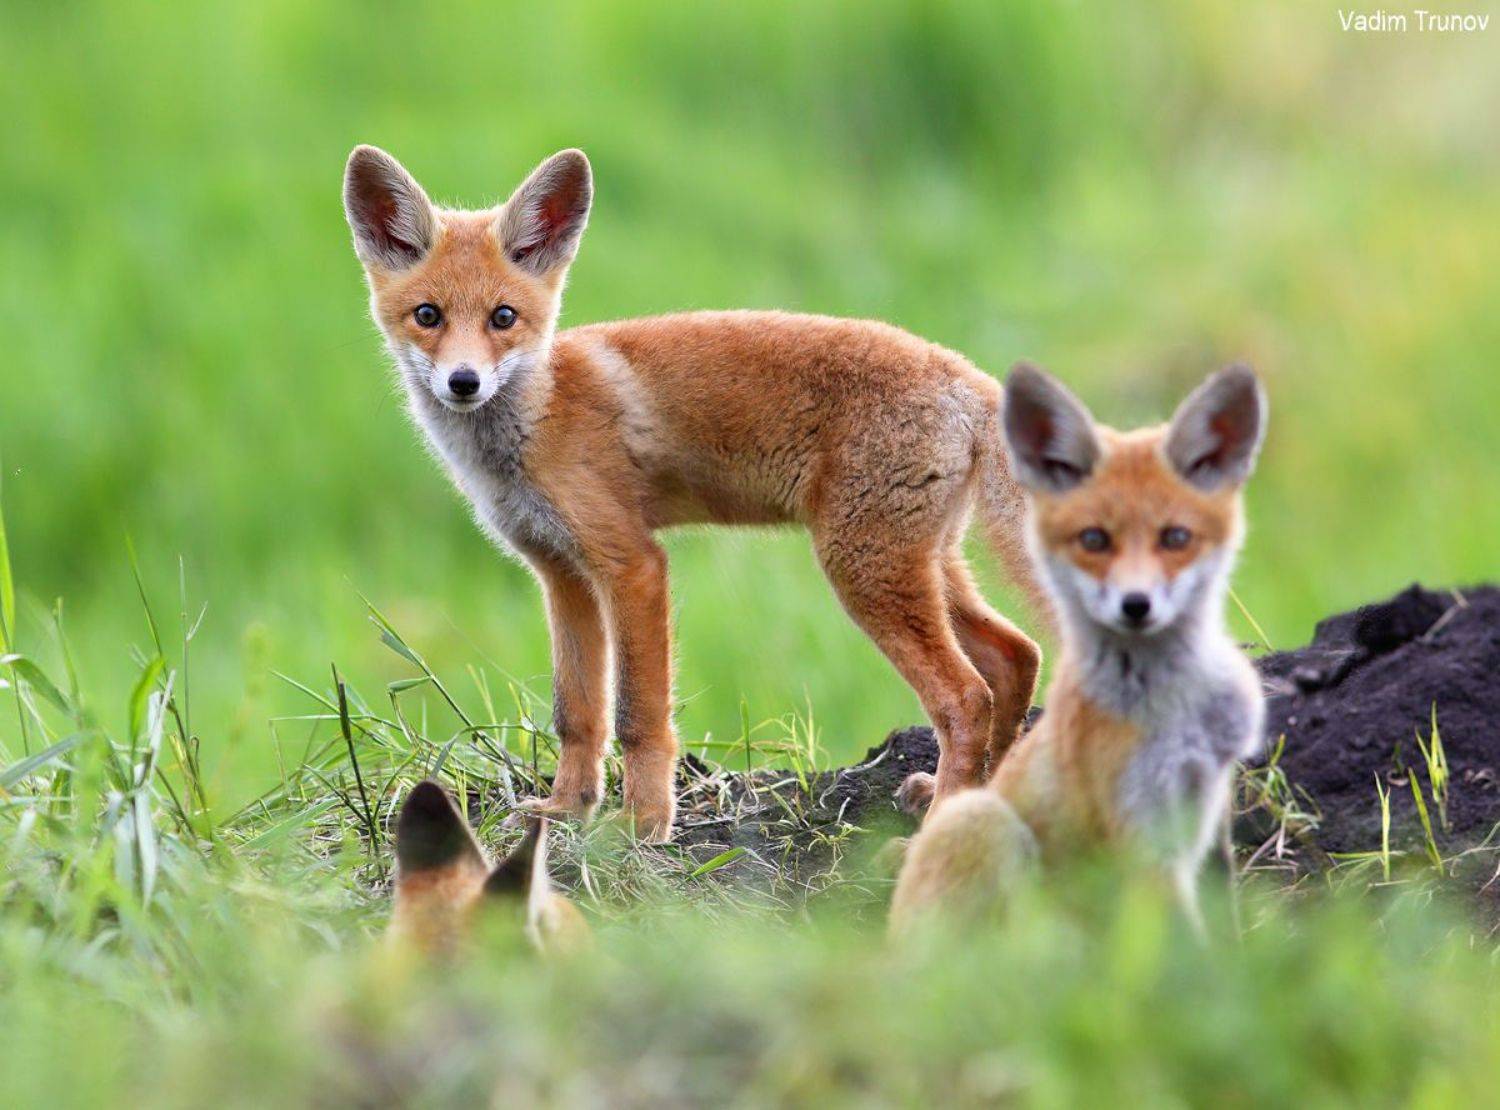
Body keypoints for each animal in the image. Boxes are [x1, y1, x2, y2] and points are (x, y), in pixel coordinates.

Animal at [342, 145, 1043, 842]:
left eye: (503, 318)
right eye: (428, 316)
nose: (464, 382)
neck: (535, 421)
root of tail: (969, 378)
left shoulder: (632, 564)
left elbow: (637, 715)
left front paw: (644, 822)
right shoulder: (562, 574)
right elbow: (578, 712)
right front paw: (568, 810)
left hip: (864, 570)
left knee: (965, 698)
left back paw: (941, 827)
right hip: (922, 565)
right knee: (1017, 655)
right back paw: (988, 797)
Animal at [888, 363, 1267, 936]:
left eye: (1176, 538)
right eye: (1093, 540)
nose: (1136, 605)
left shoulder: (1207, 803)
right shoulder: (1138, 824)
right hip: (988, 829)